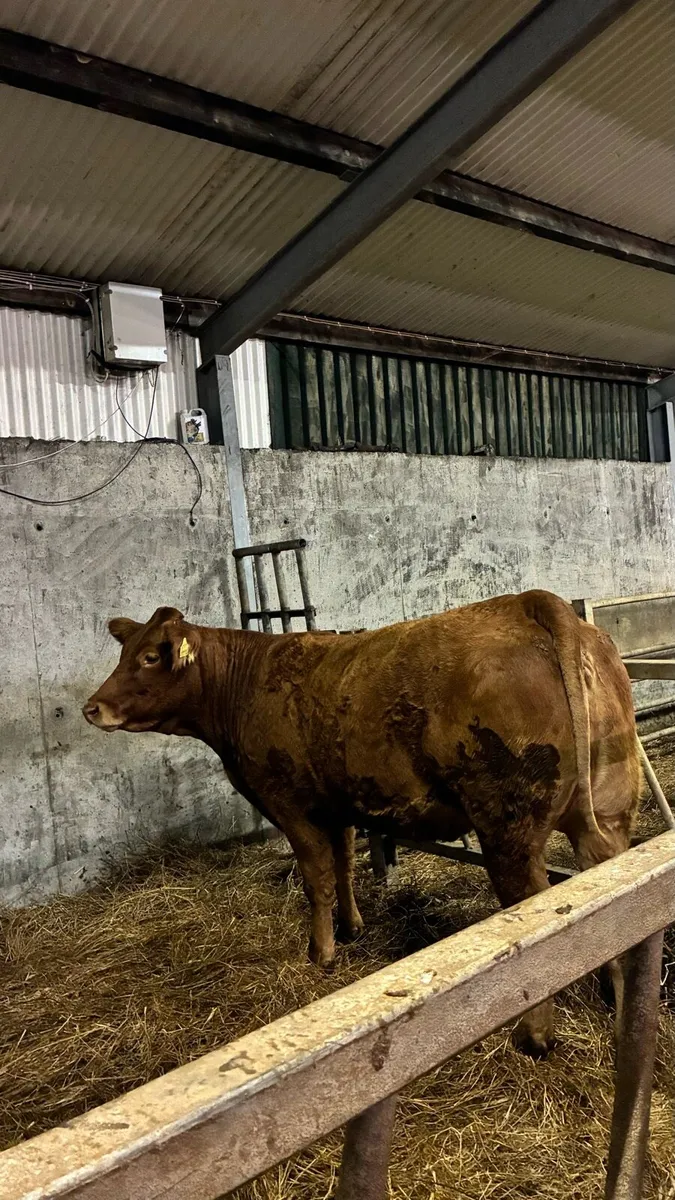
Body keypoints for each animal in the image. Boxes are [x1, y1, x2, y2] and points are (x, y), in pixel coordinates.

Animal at [83, 590, 640, 1057]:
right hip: (607, 815)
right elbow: (345, 863)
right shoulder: (338, 804)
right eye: (123, 653)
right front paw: (352, 927)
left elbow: (317, 877)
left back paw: (534, 1036)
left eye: (149, 657)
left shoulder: (291, 805)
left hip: (509, 832)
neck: (246, 683)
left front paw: (321, 953)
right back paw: (617, 1004)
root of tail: (533, 603)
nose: (92, 707)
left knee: (533, 913)